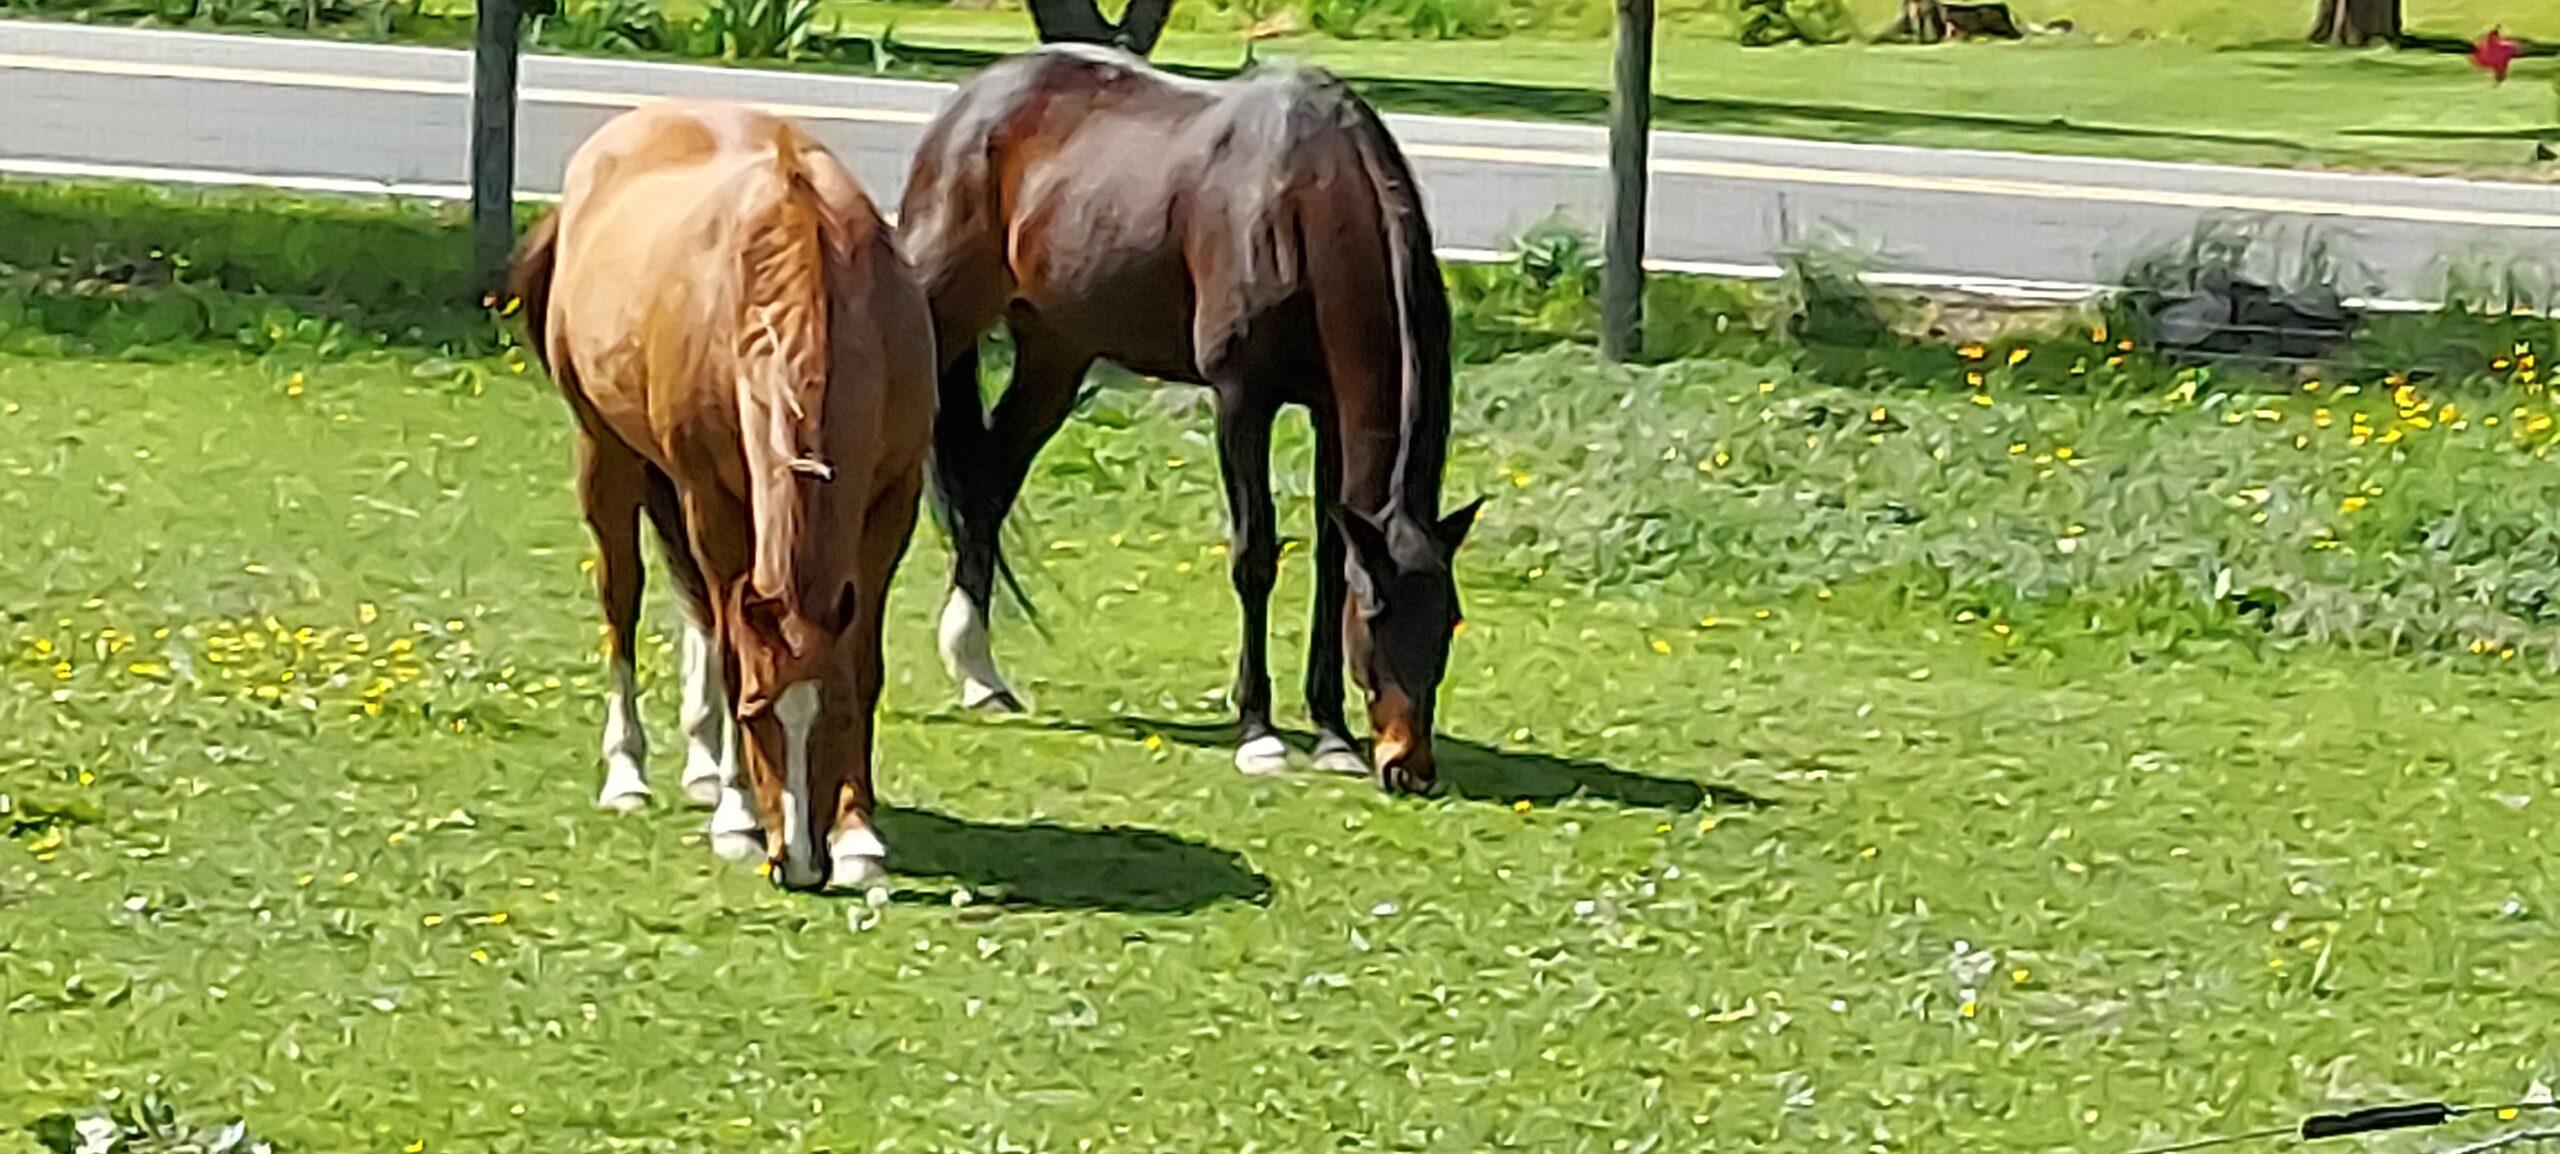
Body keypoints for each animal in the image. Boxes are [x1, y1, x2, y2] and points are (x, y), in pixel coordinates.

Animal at [509, 101, 942, 895]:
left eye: (834, 720)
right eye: (756, 715)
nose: (797, 861)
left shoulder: (891, 501)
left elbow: (861, 662)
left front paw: (859, 836)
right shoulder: (710, 497)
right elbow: (734, 650)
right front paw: (739, 819)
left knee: (700, 609)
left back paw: (705, 768)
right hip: (609, 456)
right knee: (626, 599)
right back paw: (630, 774)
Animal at [901, 47, 1484, 803]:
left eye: (1449, 618)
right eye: (1379, 614)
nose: (1408, 766)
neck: (1301, 199)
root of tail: (968, 107)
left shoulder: (1327, 411)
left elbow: (1331, 558)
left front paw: (1331, 735)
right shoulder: (1242, 400)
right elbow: (1255, 556)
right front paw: (1259, 732)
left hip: (1057, 350)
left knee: (989, 486)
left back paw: (981, 674)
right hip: (941, 314)